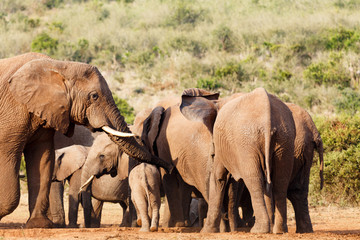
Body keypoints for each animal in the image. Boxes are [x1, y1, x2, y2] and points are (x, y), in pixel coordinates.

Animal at [0, 52, 173, 229]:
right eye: (94, 96)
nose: (171, 167)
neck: (58, 65)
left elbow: (42, 159)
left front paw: (39, 225)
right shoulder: (12, 110)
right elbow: (7, 155)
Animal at [180, 87, 296, 233]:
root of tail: (267, 116)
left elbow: (218, 177)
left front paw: (206, 232)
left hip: (247, 141)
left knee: (254, 179)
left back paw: (259, 230)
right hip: (285, 139)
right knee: (280, 180)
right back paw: (279, 230)